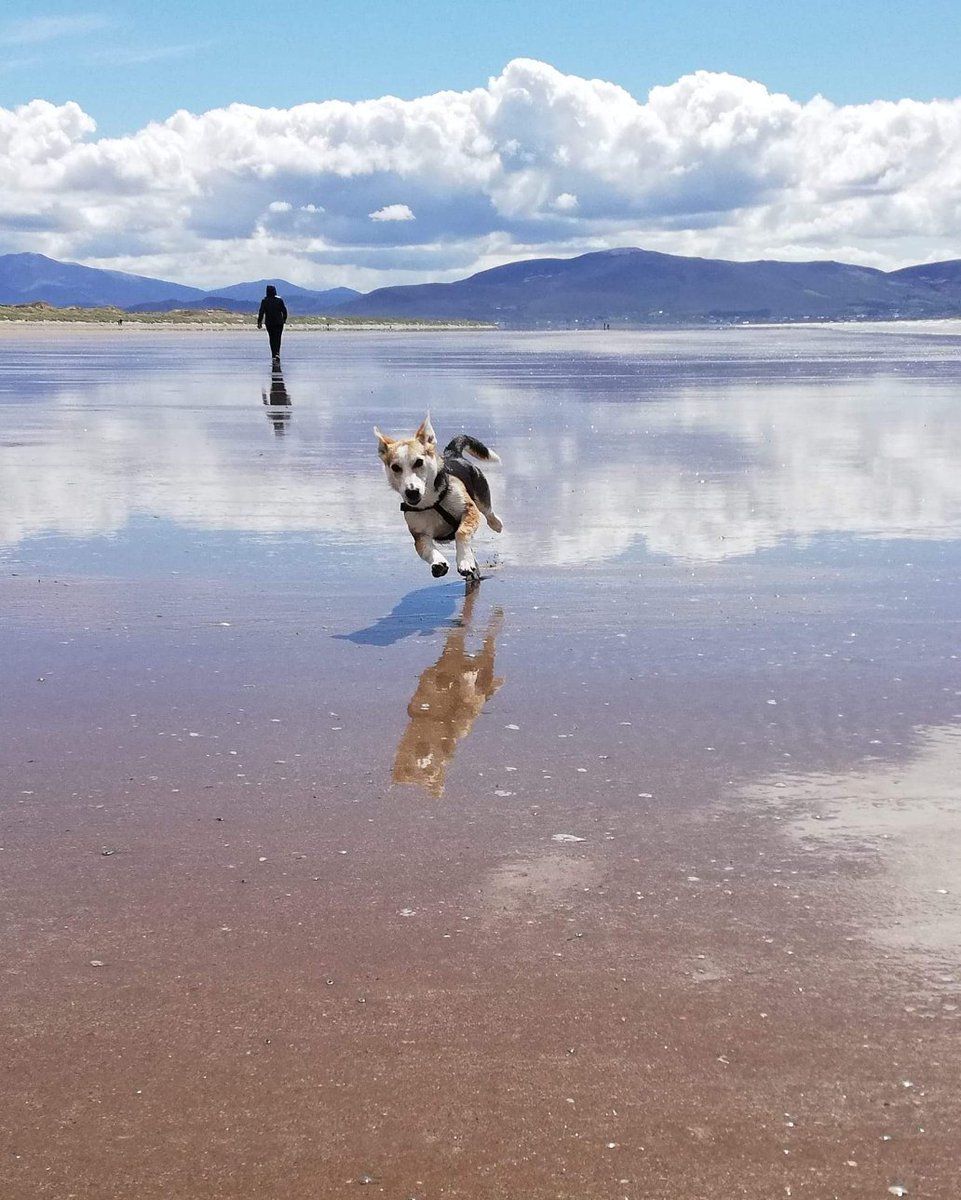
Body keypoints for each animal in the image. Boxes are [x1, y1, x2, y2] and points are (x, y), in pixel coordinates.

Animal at [374, 415, 502, 580]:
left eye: (419, 462)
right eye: (395, 467)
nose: (412, 492)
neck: (432, 502)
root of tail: (453, 454)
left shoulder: (469, 510)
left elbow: (461, 532)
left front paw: (464, 562)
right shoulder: (419, 534)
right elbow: (425, 549)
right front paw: (439, 563)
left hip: (481, 494)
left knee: (489, 513)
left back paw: (496, 525)